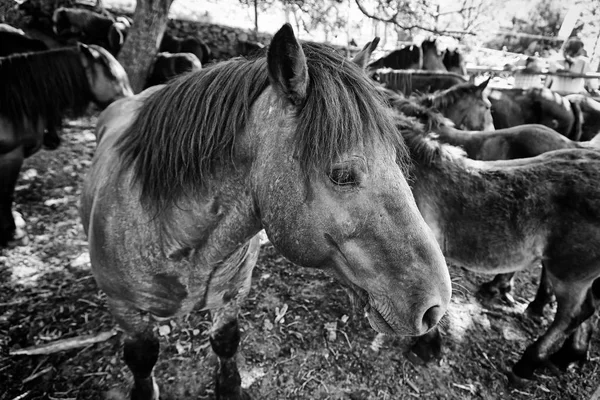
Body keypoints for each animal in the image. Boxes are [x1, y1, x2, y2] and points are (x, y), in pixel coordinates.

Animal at [81, 25, 454, 400]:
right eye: (341, 174)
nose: (436, 306)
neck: (174, 235)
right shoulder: (125, 310)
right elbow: (142, 359)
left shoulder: (232, 297)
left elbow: (225, 342)